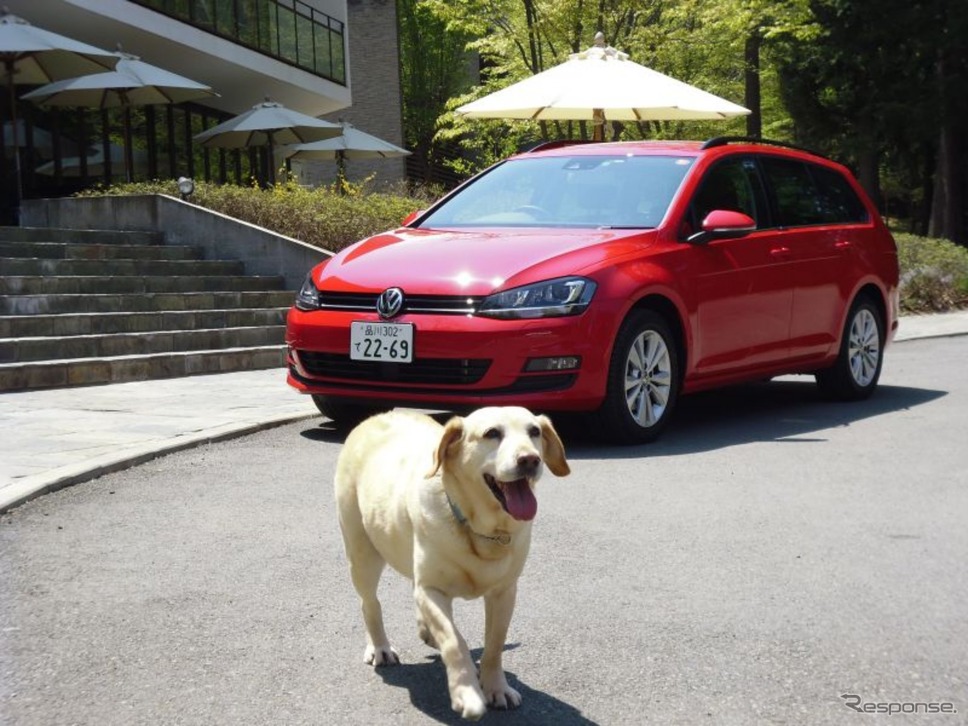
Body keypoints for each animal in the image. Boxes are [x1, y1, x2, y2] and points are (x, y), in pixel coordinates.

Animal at [336, 406, 572, 720]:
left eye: (534, 431)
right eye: (492, 433)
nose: (529, 459)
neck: (481, 530)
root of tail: (377, 416)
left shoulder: (504, 593)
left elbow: (495, 644)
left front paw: (496, 687)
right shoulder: (432, 590)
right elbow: (454, 641)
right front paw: (466, 692)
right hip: (362, 553)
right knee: (370, 603)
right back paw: (381, 646)